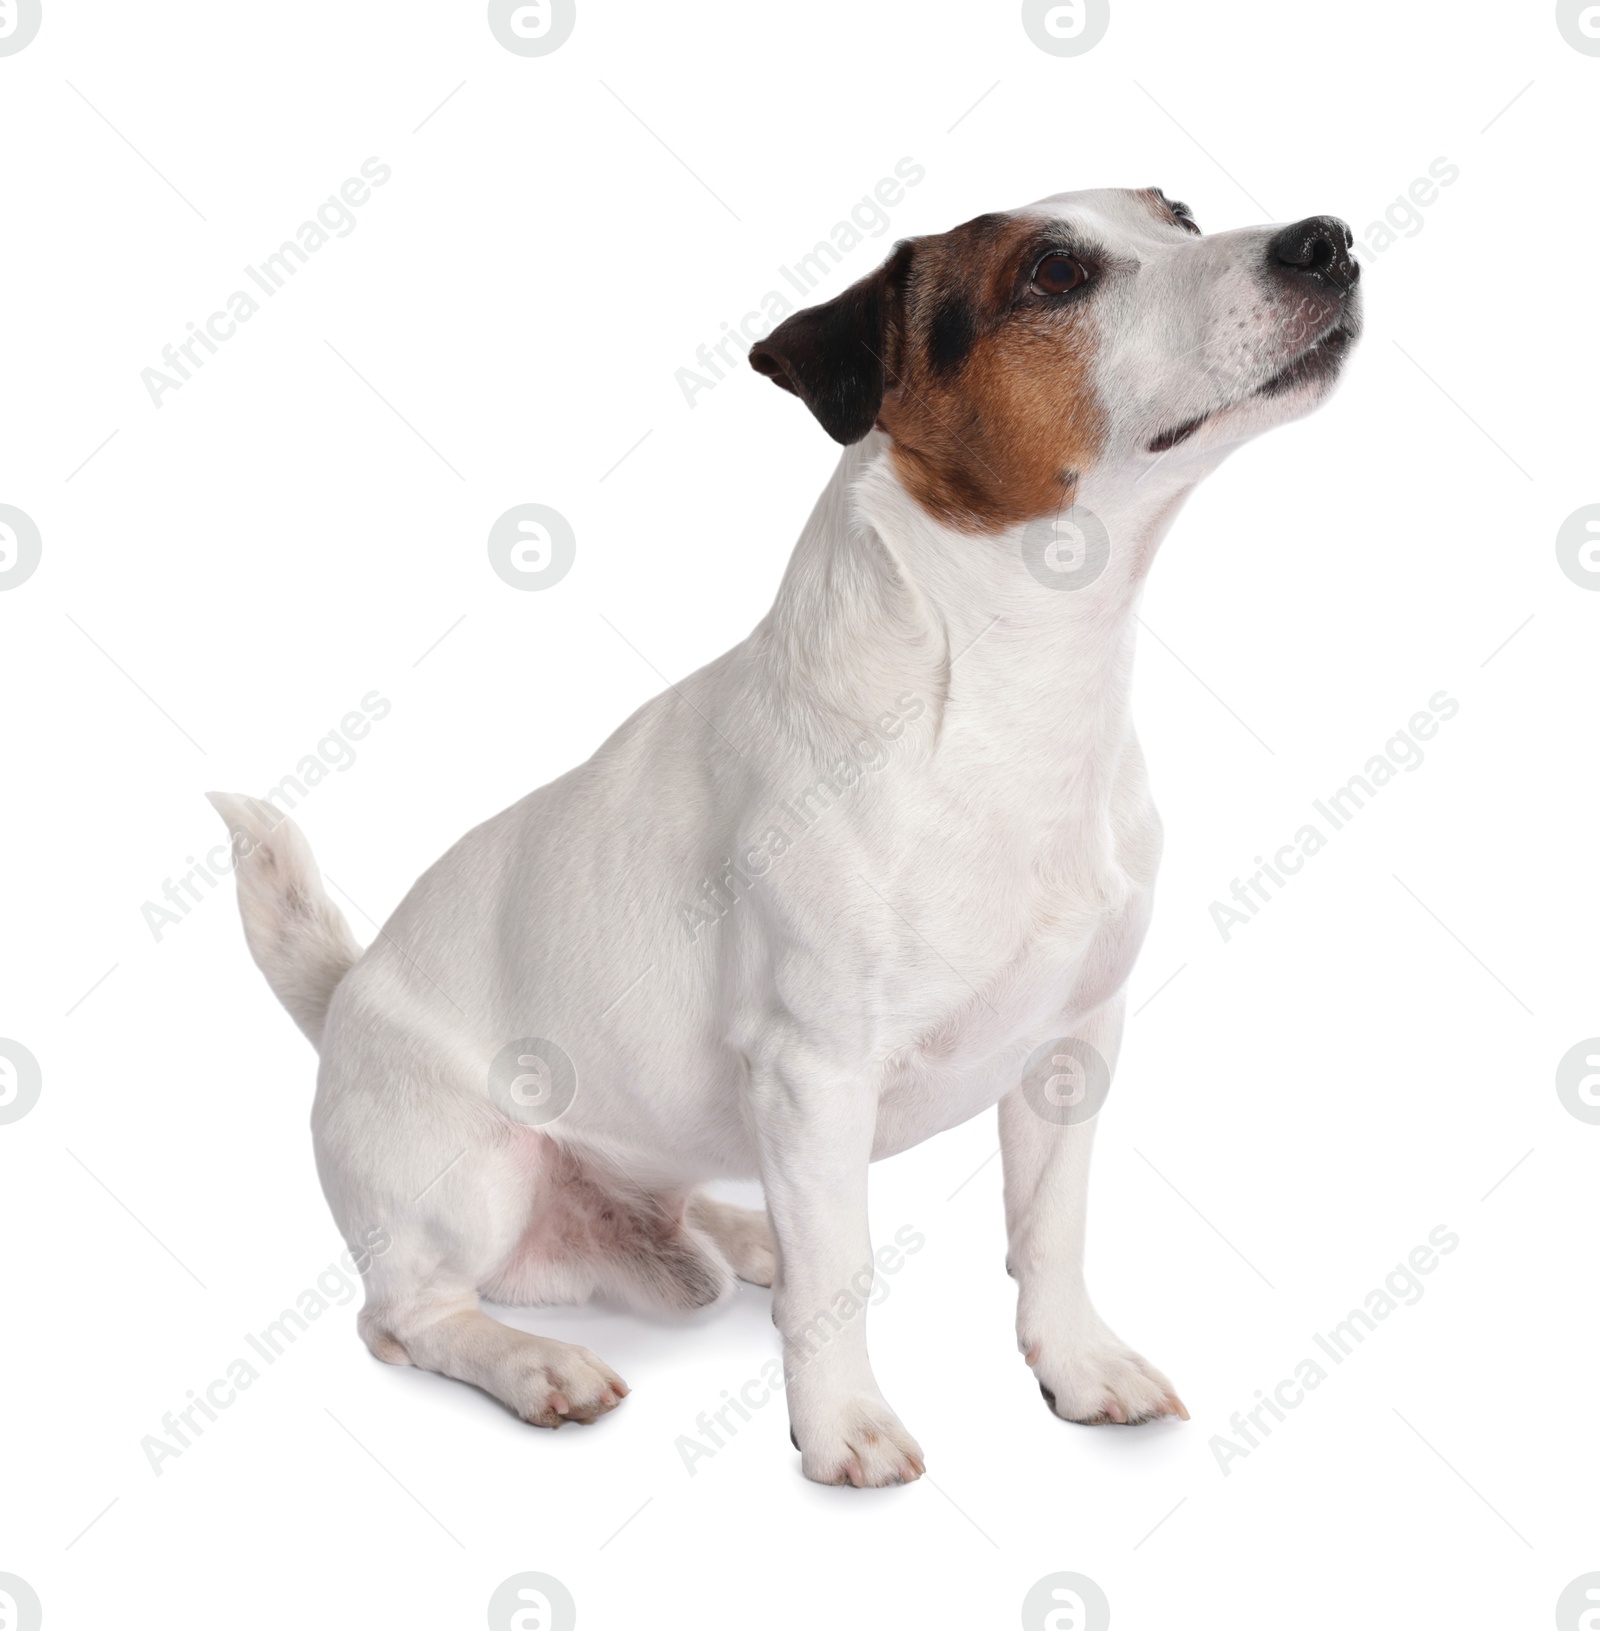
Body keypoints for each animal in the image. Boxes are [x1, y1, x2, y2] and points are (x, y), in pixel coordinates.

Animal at [208, 185, 1363, 1487]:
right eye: (1055, 274)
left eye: (1179, 215)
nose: (1326, 240)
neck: (1008, 695)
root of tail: (344, 995)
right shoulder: (816, 1071)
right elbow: (841, 1273)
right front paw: (843, 1420)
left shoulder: (1073, 1046)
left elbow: (1050, 1229)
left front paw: (1077, 1363)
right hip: (475, 1177)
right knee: (404, 1313)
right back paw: (532, 1360)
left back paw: (729, 1228)